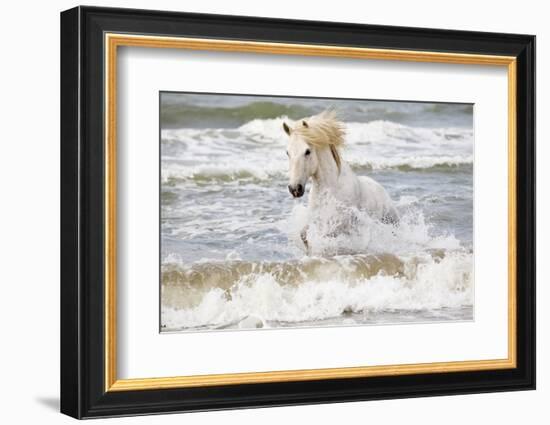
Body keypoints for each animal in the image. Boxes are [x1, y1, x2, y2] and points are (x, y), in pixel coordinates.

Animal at [284, 110, 396, 252]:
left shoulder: (339, 224)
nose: (294, 189)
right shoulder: (316, 219)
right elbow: (304, 235)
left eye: (307, 151)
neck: (331, 189)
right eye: (287, 152)